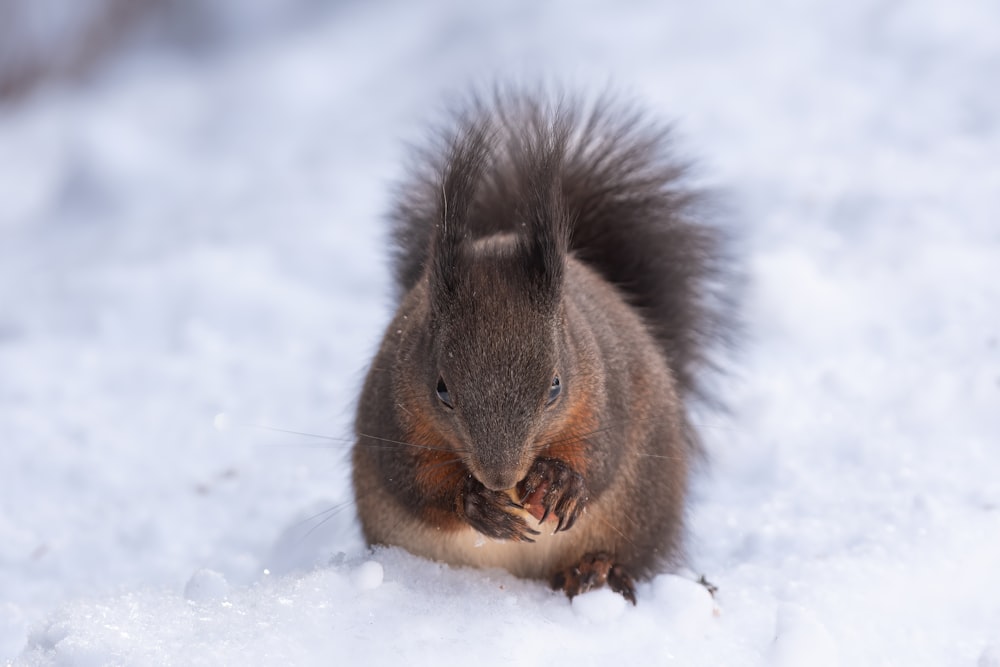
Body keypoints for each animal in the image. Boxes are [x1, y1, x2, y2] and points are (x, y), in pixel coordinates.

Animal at [352, 88, 736, 604]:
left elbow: (600, 455)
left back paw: (596, 571)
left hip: (643, 507)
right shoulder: (394, 416)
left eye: (555, 385)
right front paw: (478, 503)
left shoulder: (605, 390)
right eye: (442, 389)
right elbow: (415, 481)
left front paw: (559, 482)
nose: (501, 478)